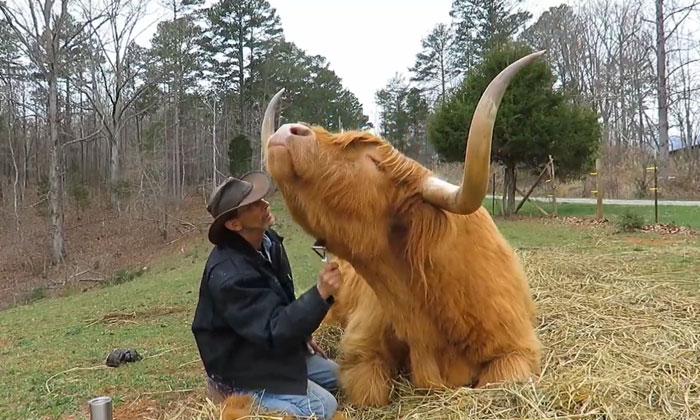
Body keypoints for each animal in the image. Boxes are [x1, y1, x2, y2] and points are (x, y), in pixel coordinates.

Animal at [260, 51, 544, 407]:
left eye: (372, 160)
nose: (288, 130)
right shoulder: (360, 348)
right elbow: (371, 392)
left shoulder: (519, 349)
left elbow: (500, 380)